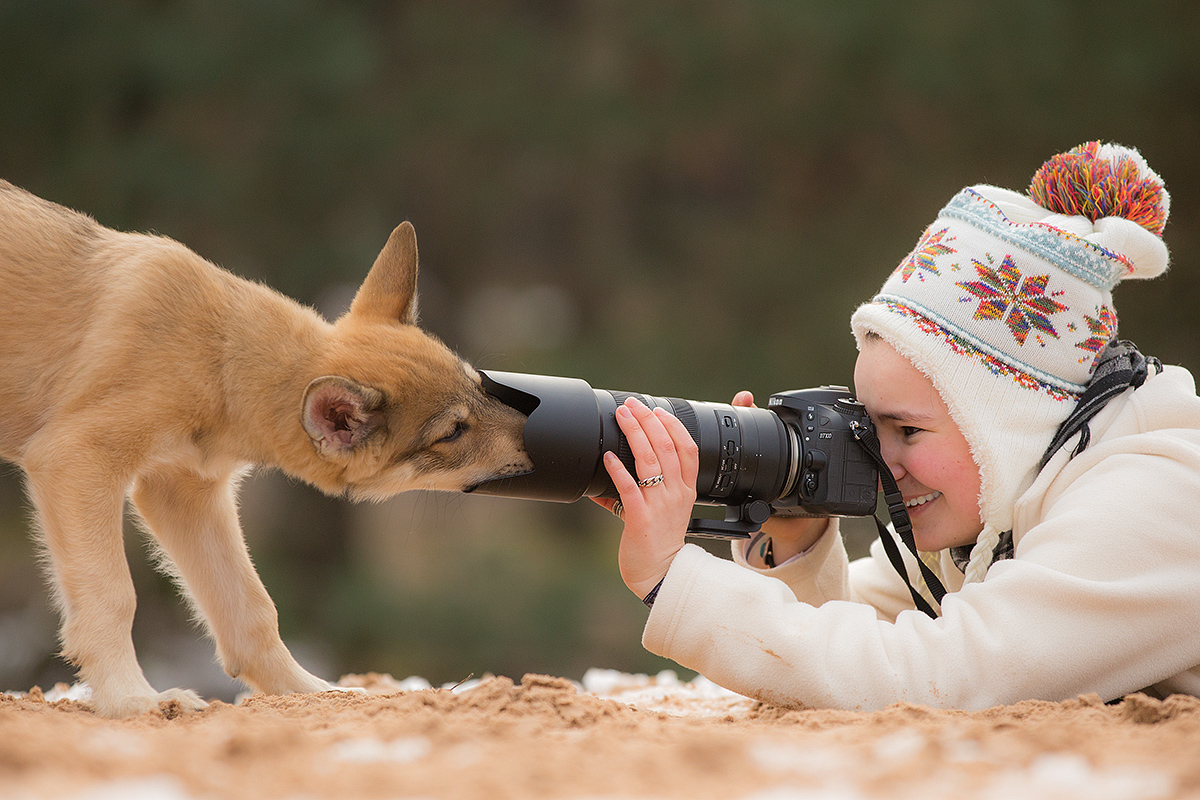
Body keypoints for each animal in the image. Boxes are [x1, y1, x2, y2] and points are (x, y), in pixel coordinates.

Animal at [0, 181, 535, 719]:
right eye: (453, 432)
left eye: (481, 387)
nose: (542, 434)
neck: (220, 357)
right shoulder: (78, 458)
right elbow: (114, 597)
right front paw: (132, 700)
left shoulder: (185, 493)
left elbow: (254, 611)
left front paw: (311, 691)